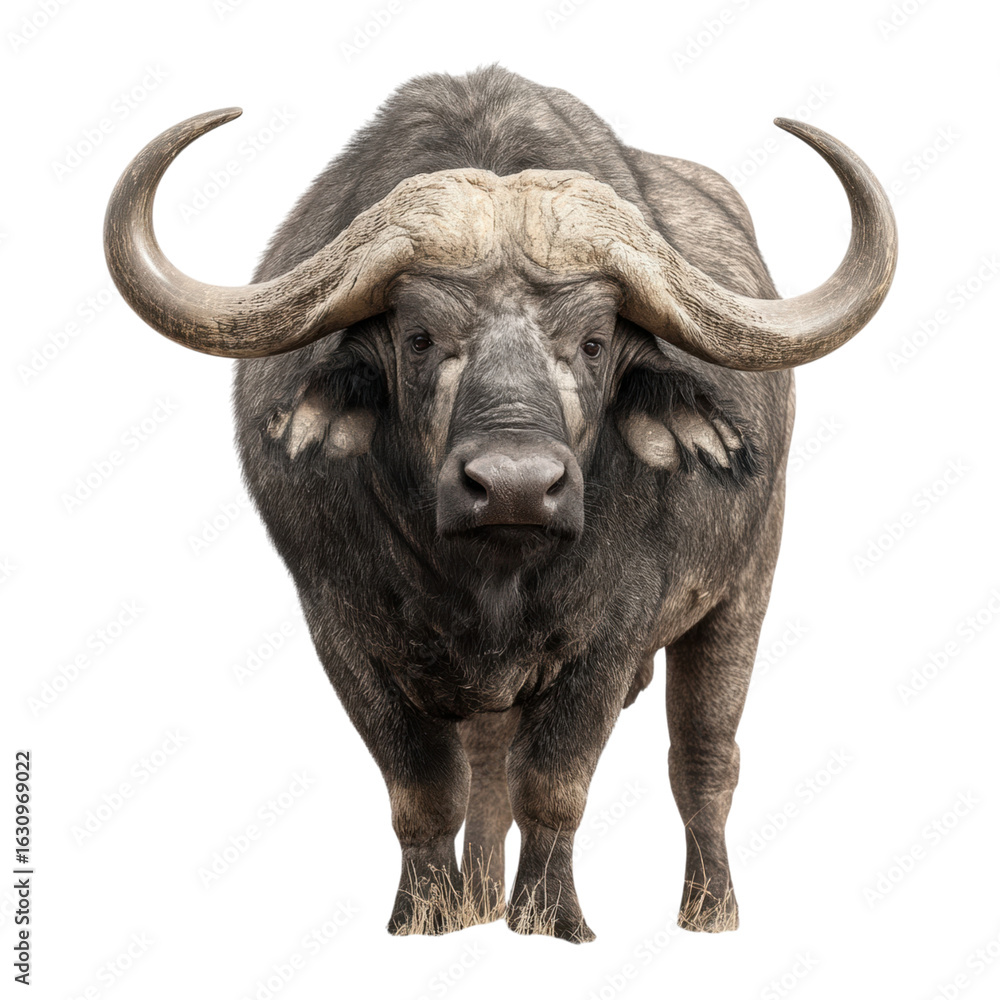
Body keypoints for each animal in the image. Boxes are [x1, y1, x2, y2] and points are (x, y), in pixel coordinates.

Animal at [104, 65, 896, 942]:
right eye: (419, 337)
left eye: (593, 341)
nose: (515, 484)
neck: (486, 574)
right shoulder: (338, 624)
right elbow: (424, 789)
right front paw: (427, 918)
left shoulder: (611, 636)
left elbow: (553, 783)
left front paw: (550, 920)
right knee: (486, 772)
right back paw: (479, 902)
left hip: (744, 592)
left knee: (703, 760)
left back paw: (708, 913)